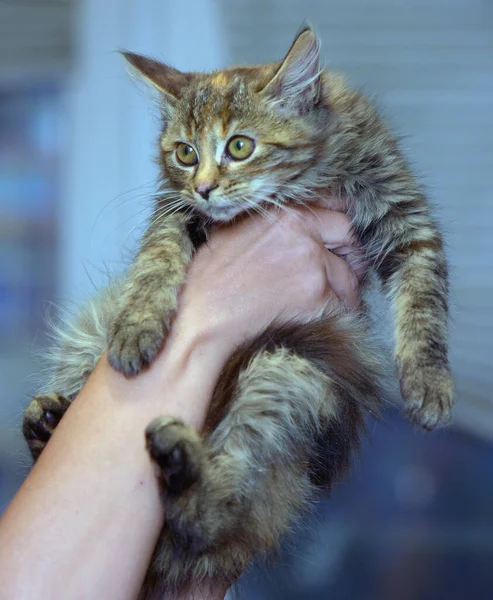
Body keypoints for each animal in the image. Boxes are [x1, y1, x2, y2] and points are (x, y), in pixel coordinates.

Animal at [24, 27, 454, 596]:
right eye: (185, 154)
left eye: (240, 146)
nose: (205, 187)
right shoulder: (173, 209)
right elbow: (157, 256)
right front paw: (139, 323)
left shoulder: (402, 213)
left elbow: (425, 300)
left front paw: (429, 383)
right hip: (93, 327)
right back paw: (48, 420)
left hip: (291, 369)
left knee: (215, 510)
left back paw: (179, 466)